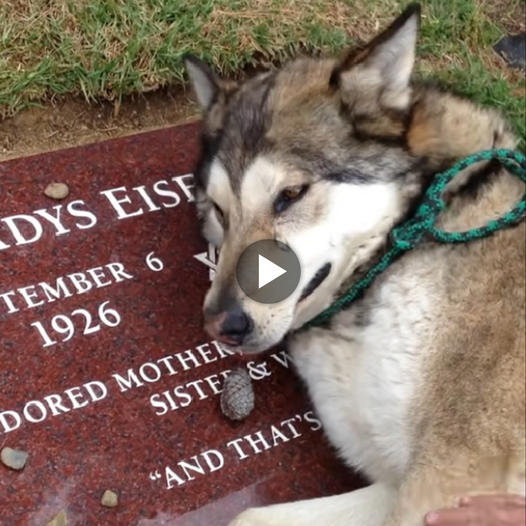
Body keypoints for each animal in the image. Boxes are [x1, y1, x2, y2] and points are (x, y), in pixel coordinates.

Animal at [184, 5, 524, 526]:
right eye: (220, 211)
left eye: (290, 195)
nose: (222, 324)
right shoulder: (395, 486)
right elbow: (248, 514)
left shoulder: (445, 479)